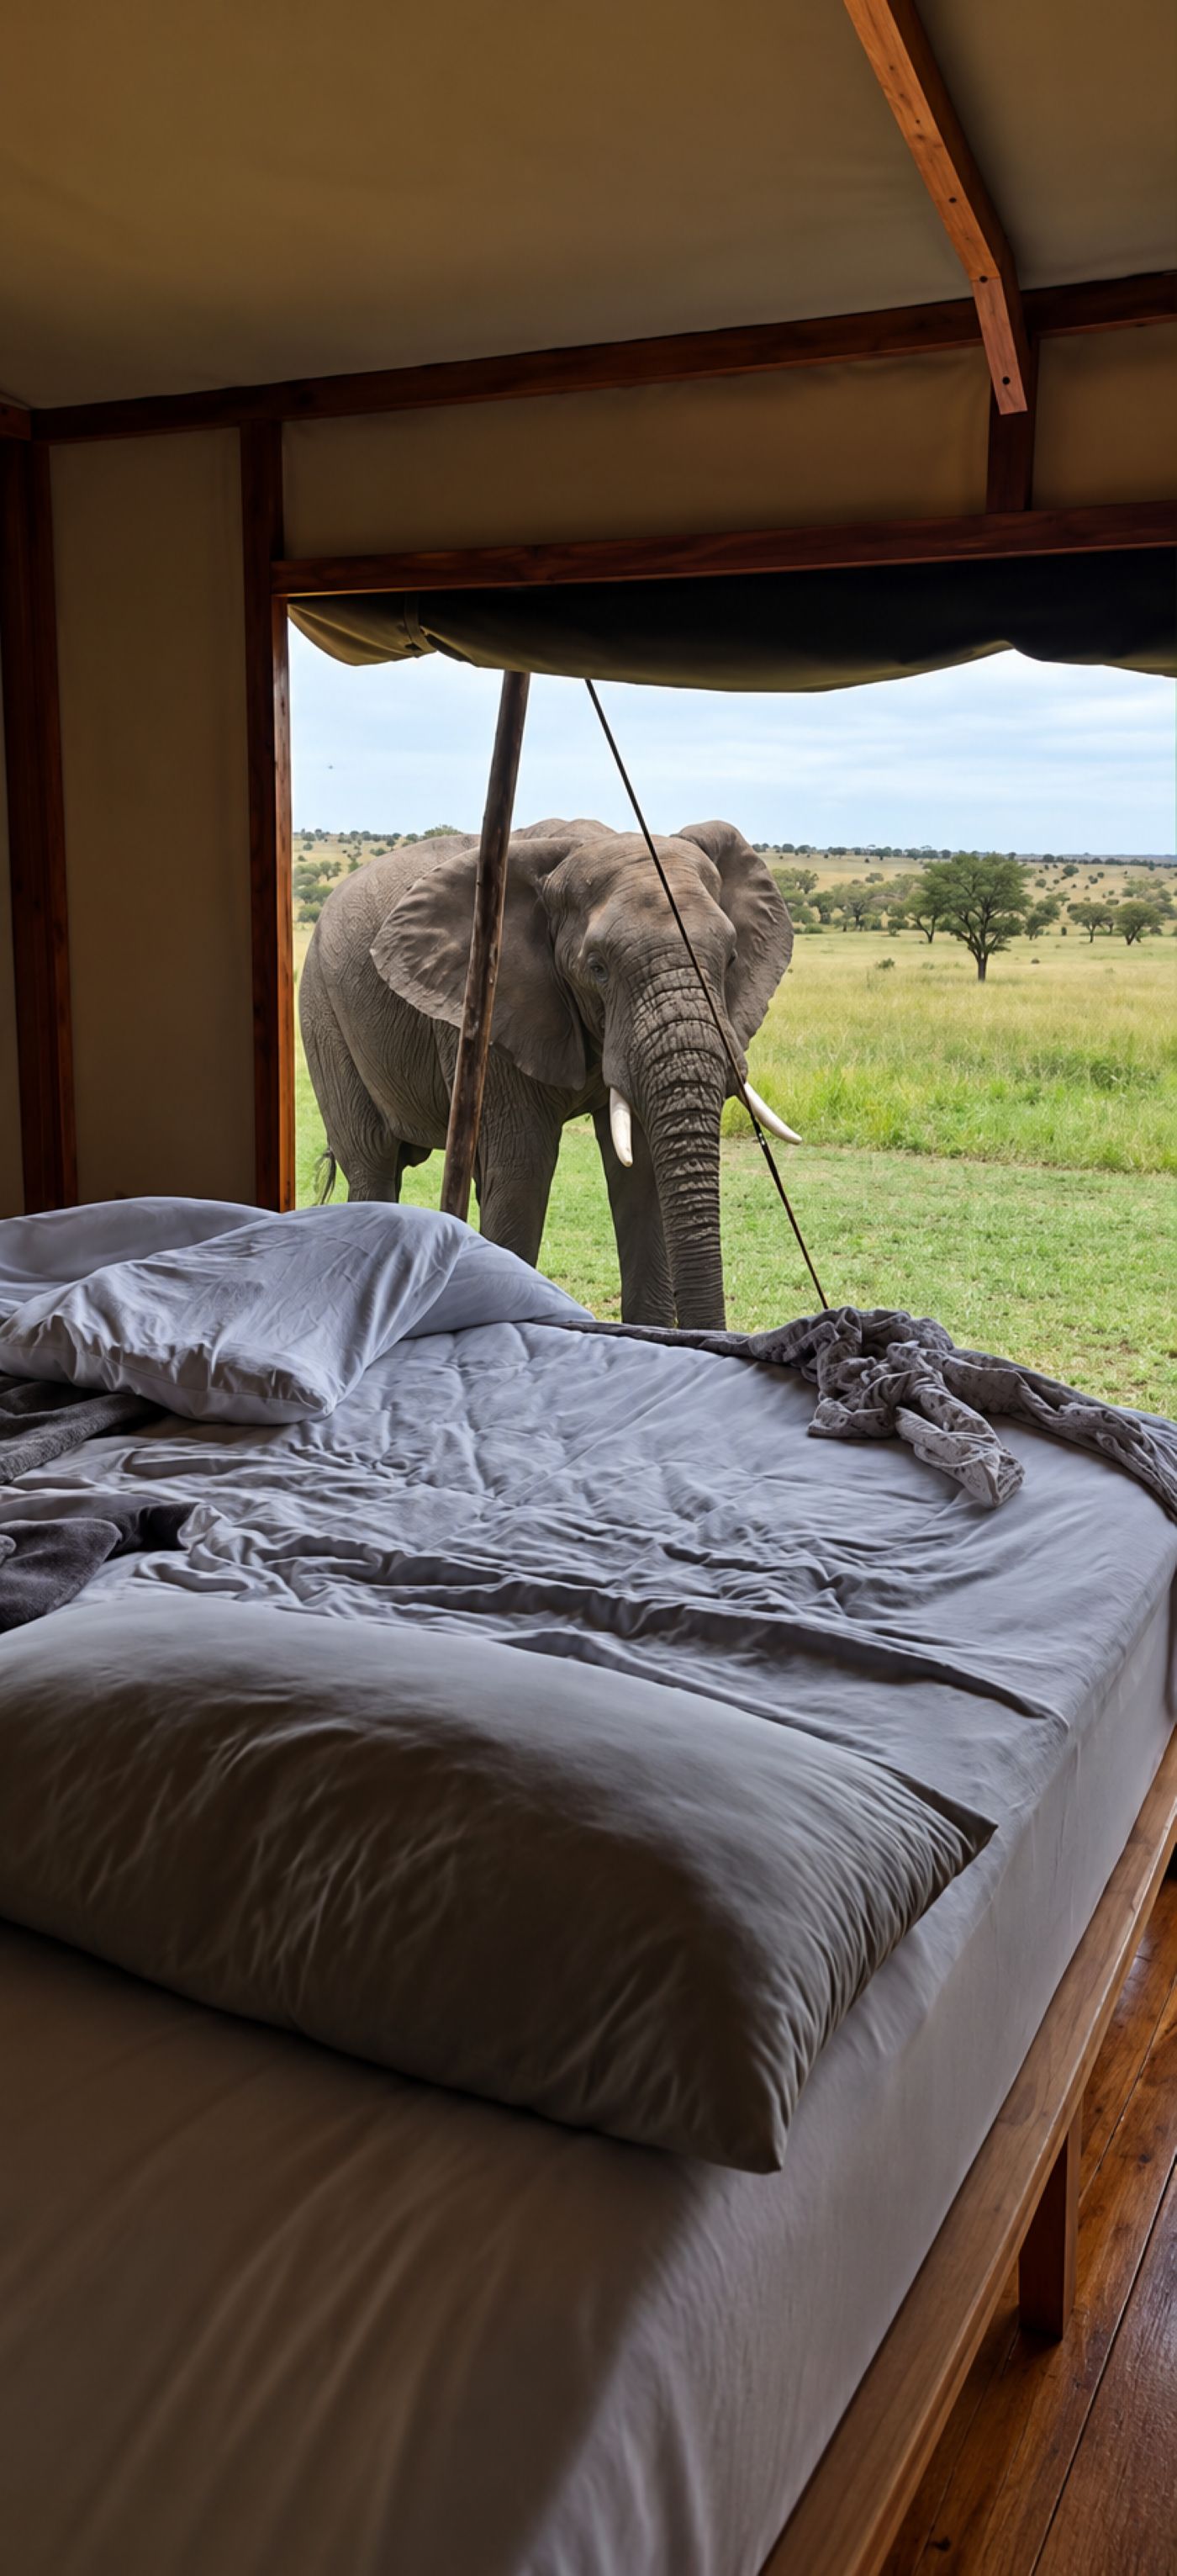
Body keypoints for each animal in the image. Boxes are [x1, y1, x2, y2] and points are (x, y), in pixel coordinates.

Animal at [299, 816, 795, 1329]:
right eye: (597, 968)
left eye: (731, 958)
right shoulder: (491, 1011)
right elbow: (524, 1169)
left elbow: (641, 1171)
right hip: (322, 1013)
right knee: (372, 1162)